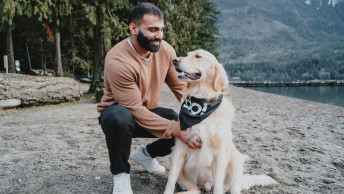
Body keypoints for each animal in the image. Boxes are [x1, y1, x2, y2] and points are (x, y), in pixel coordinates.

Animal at [163, 50, 276, 194]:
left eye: (198, 56)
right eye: (188, 55)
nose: (174, 60)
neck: (201, 99)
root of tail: (205, 185)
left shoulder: (220, 154)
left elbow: (218, 185)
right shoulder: (179, 149)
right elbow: (170, 181)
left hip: (236, 160)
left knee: (233, 187)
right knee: (195, 190)